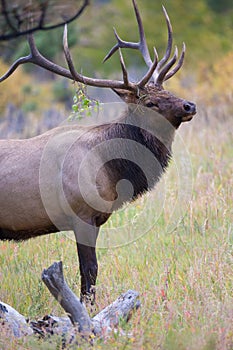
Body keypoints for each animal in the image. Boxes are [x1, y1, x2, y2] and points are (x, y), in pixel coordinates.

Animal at [0, 0, 197, 302]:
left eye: (168, 90)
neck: (112, 170)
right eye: (150, 103)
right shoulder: (81, 216)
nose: (189, 105)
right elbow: (89, 270)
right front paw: (87, 308)